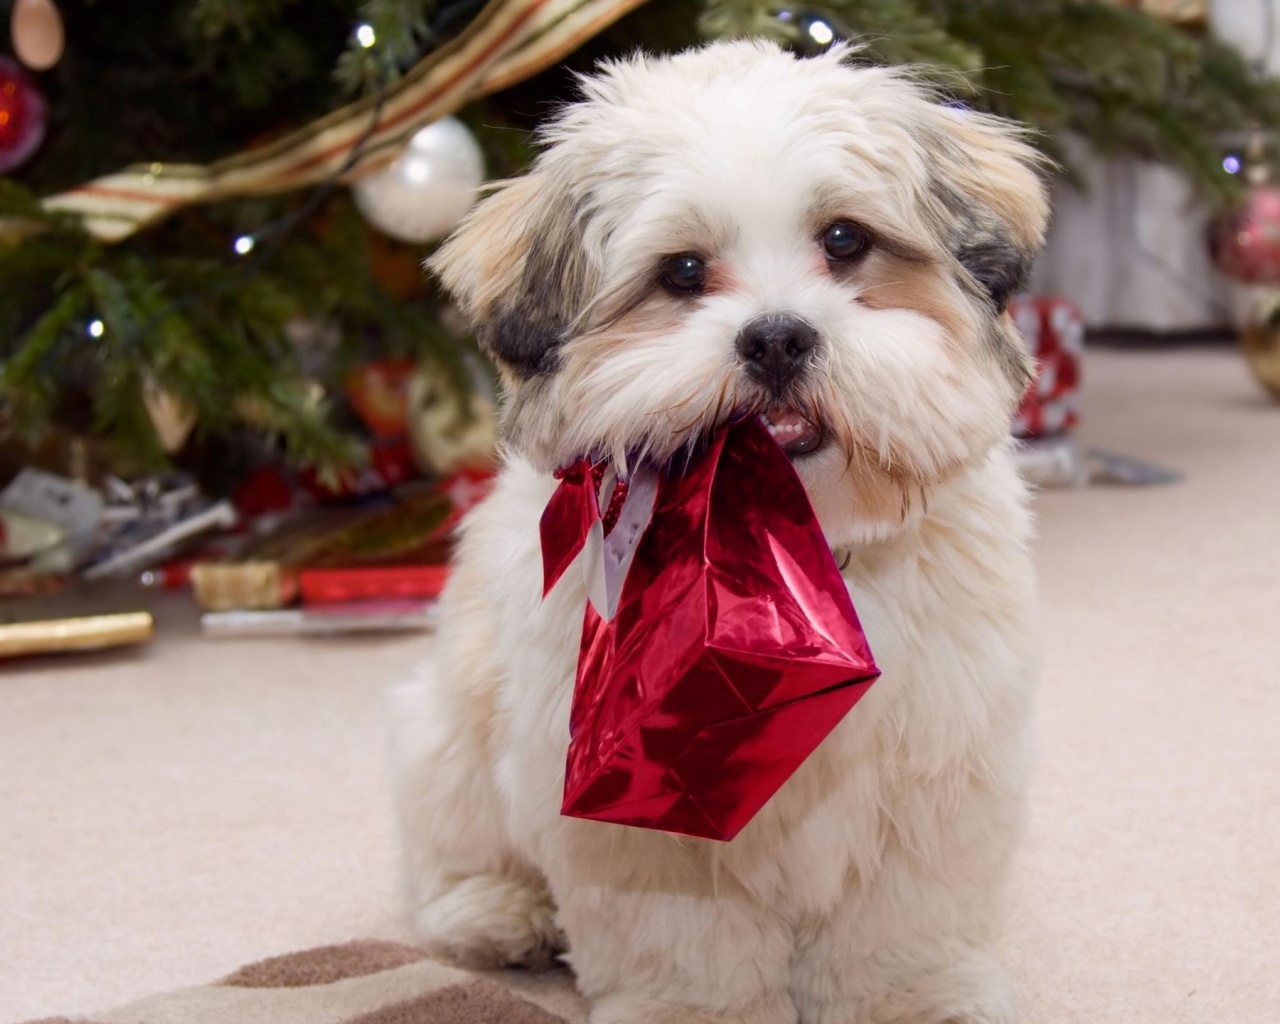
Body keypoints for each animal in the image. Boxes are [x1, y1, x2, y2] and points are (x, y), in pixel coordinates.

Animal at [391, 40, 1049, 1024]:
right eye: (683, 272)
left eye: (844, 240)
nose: (777, 337)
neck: (787, 554)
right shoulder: (639, 805)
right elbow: (685, 943)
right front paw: (692, 1010)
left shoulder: (933, 773)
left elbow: (900, 922)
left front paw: (913, 995)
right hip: (451, 732)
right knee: (446, 853)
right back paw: (497, 911)